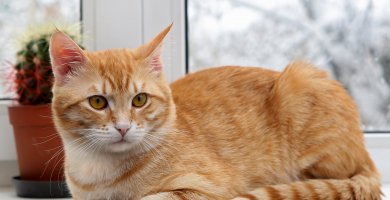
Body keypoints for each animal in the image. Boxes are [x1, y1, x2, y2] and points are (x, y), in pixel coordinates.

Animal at [49, 24, 380, 199]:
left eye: (140, 100)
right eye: (98, 102)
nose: (122, 127)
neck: (101, 173)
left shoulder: (205, 190)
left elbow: (152, 197)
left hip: (302, 80)